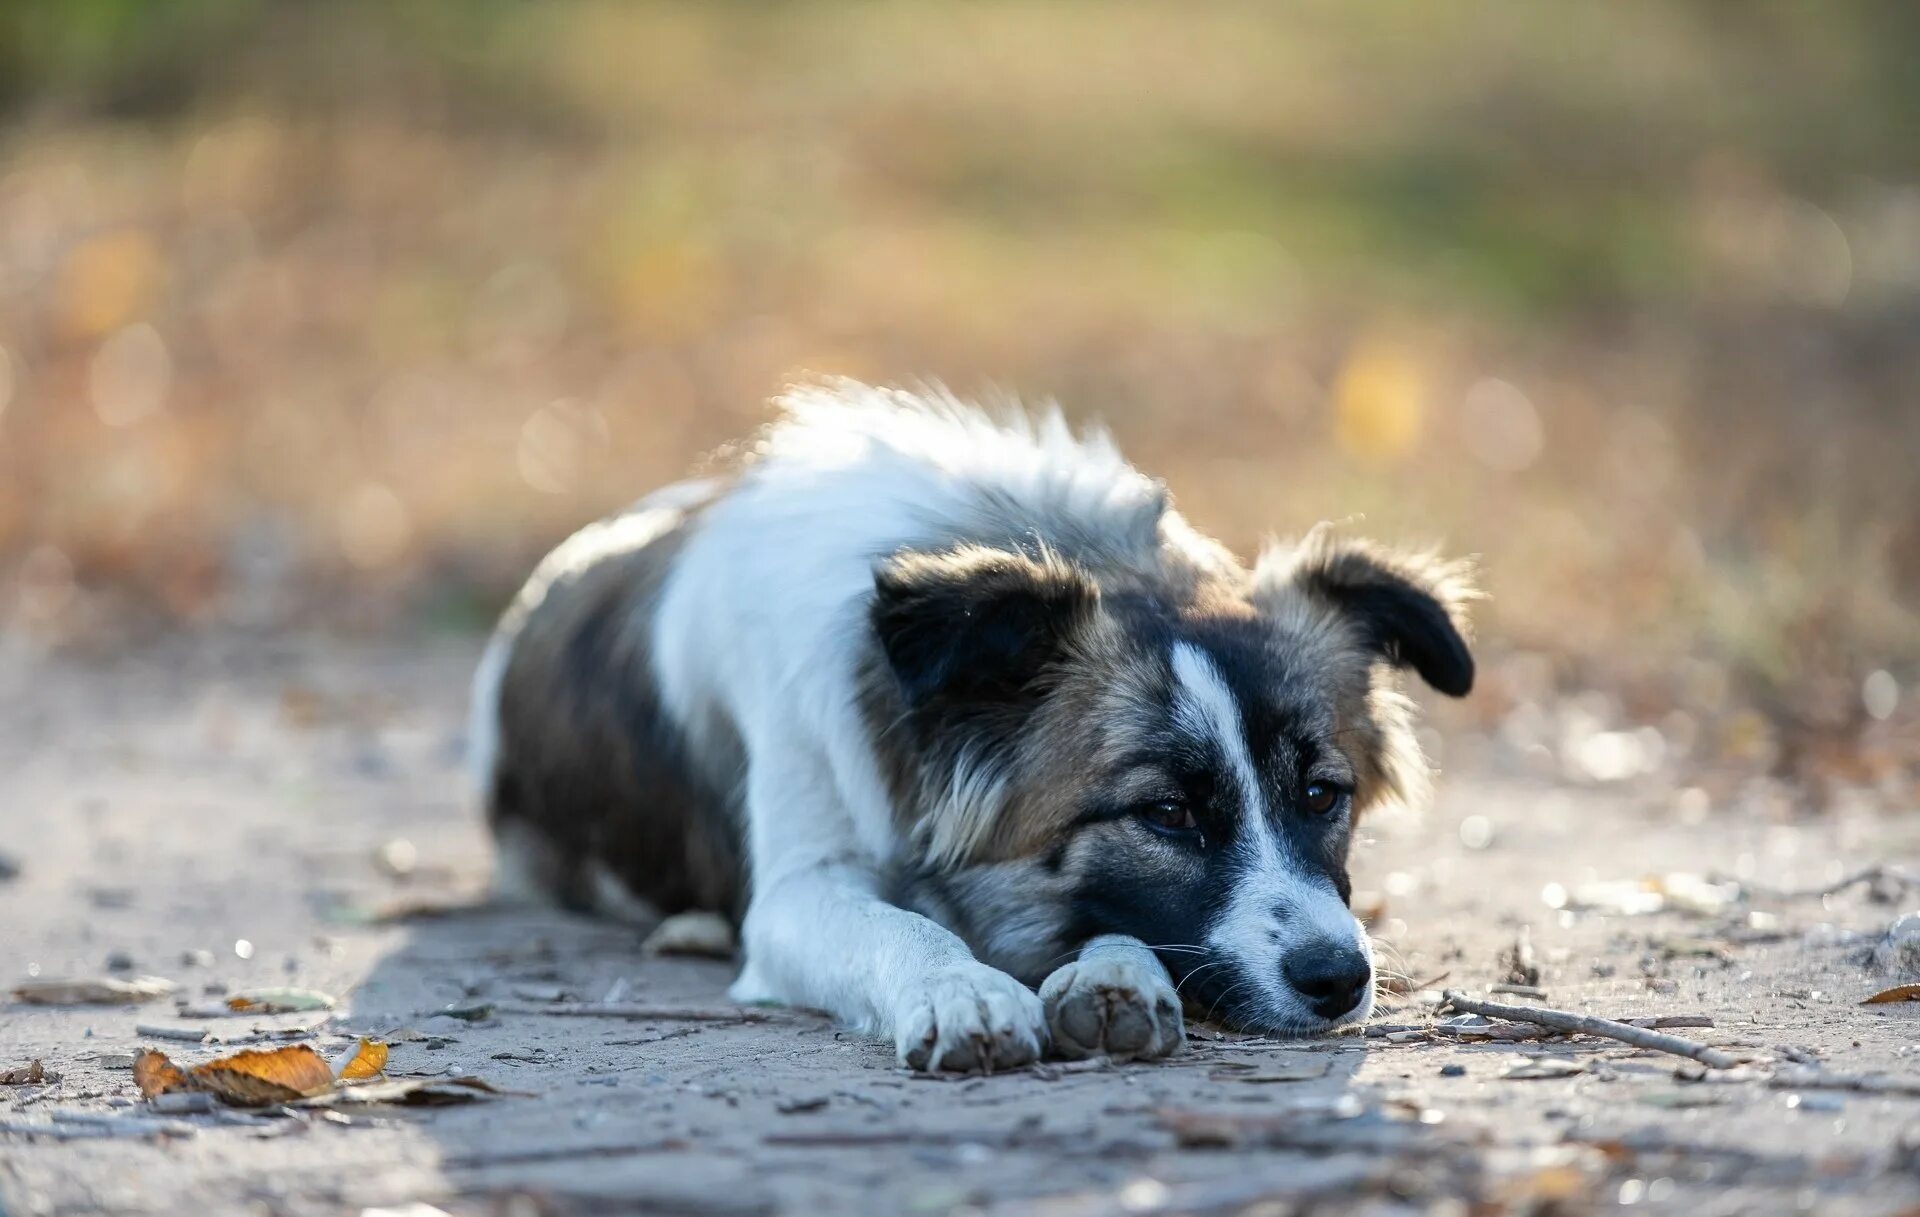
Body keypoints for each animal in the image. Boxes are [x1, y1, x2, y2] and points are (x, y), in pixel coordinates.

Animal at [464, 376, 1466, 1059]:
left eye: (1323, 793)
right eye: (1167, 813)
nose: (1339, 979)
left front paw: (1111, 973)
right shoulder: (795, 891)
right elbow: (898, 927)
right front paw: (960, 989)